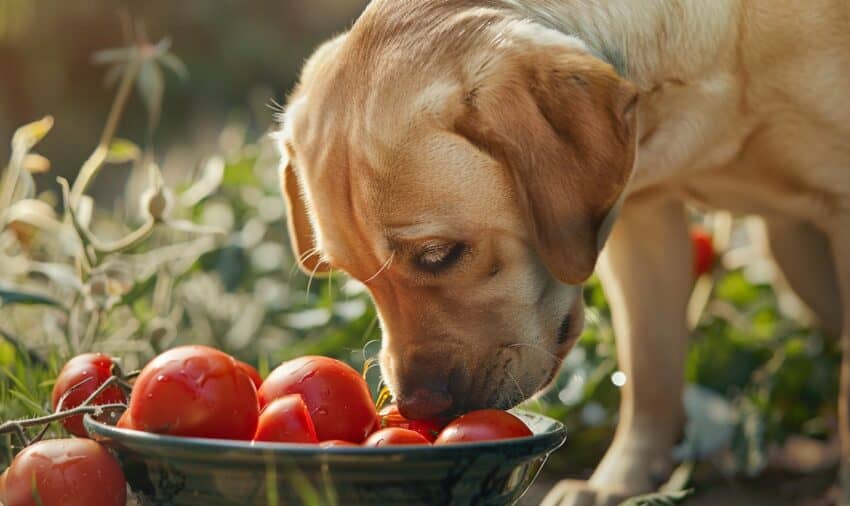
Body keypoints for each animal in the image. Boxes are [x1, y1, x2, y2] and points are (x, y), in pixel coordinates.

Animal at [276, 1, 848, 504]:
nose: (416, 406)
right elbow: (649, 369)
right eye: (356, 277)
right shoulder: (643, 217)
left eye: (439, 254)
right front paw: (622, 483)